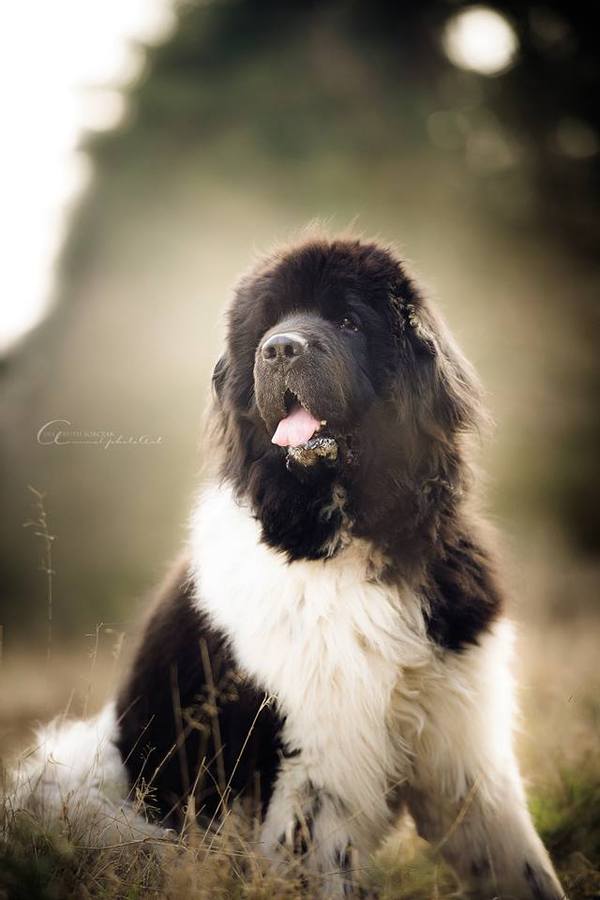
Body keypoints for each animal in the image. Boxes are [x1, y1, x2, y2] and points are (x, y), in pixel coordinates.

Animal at [15, 236, 568, 896]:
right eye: (266, 327)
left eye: (349, 321)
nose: (279, 348)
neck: (347, 538)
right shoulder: (316, 772)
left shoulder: (463, 750)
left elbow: (523, 866)